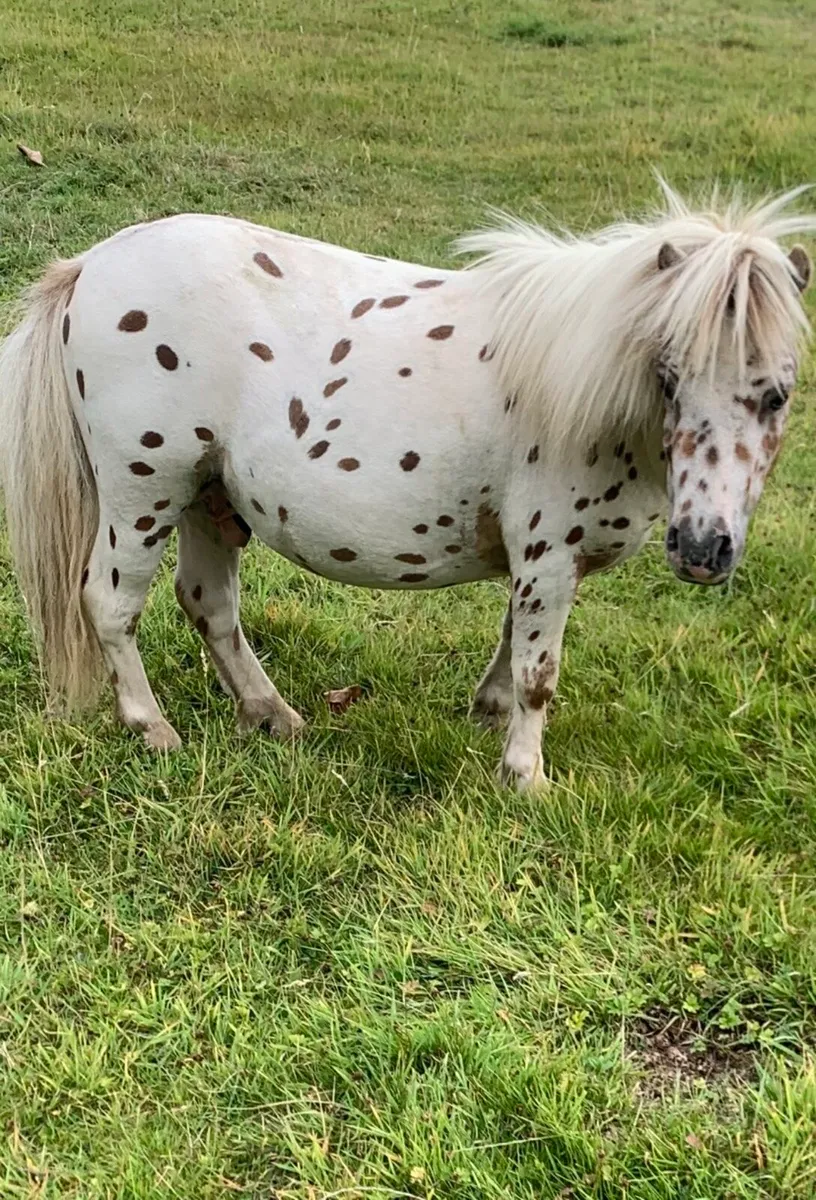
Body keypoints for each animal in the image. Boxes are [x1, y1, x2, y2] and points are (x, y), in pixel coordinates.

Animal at [0, 181, 813, 790]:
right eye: (669, 376)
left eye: (777, 396)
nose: (702, 550)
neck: (588, 381)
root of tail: (93, 266)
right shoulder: (551, 555)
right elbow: (539, 671)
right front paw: (526, 777)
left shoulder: (536, 565)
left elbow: (511, 643)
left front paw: (488, 716)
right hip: (145, 493)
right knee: (110, 605)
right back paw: (152, 728)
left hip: (211, 496)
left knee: (209, 605)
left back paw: (271, 715)